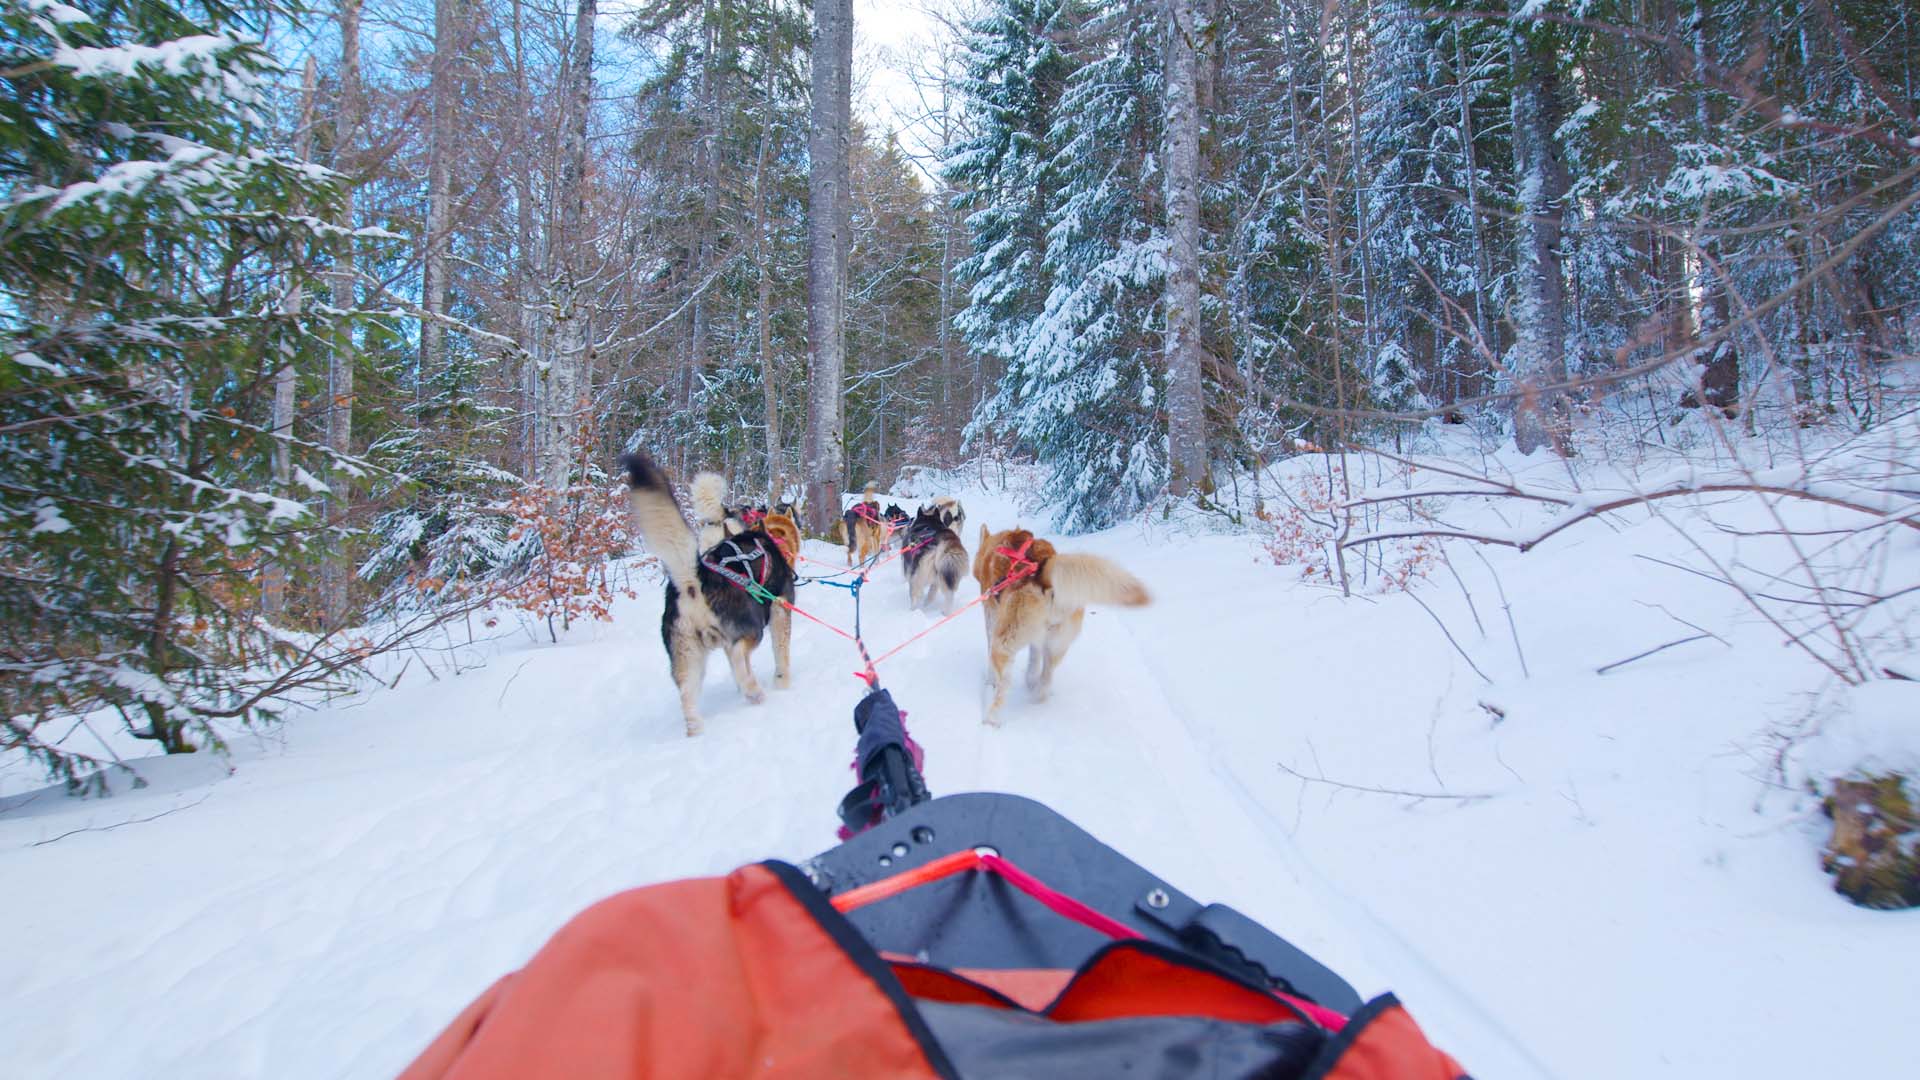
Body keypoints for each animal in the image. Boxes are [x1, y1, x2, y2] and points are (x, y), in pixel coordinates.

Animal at [618, 449, 791, 734]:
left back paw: (697, 727)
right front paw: (783, 682)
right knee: (739, 654)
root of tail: (695, 578)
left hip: (687, 656)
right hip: (751, 628)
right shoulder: (780, 610)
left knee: (688, 692)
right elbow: (780, 653)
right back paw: (754, 691)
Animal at [975, 526, 1152, 726]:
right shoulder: (1039, 638)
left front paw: (990, 682)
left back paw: (991, 718)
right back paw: (1036, 694)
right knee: (1046, 678)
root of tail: (1044, 577)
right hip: (1056, 645)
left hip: (1004, 645)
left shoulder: (991, 619)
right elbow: (1034, 658)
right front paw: (1030, 678)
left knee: (1003, 686)